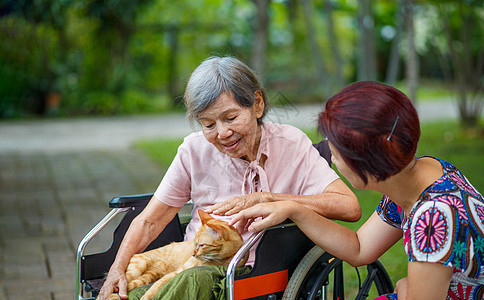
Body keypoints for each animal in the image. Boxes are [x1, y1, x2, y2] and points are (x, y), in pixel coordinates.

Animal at [101, 209, 246, 300]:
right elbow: (157, 286)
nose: (193, 254)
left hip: (147, 277)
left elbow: (157, 286)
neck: (219, 259)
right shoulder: (177, 272)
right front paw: (147, 296)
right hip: (140, 266)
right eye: (194, 243)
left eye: (201, 245)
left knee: (127, 287)